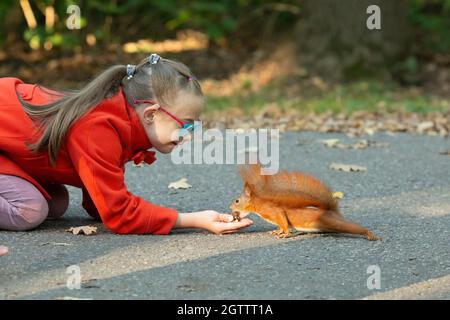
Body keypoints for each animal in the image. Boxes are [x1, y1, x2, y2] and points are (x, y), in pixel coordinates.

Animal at [229, 162, 380, 240]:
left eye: (237, 201)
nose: (230, 208)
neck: (259, 205)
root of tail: (332, 212)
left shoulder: (274, 211)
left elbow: (283, 221)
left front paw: (285, 234)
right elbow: (280, 226)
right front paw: (277, 232)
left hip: (331, 221)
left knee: (353, 227)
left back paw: (369, 234)